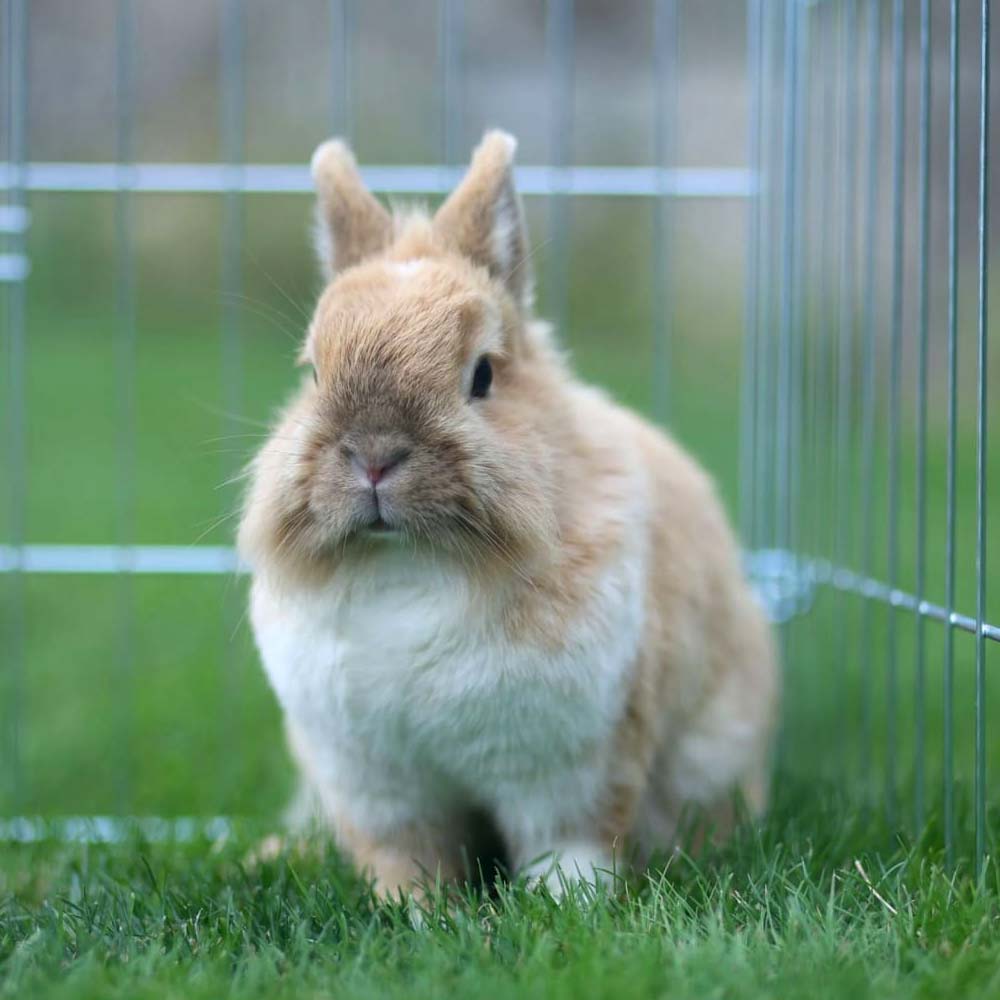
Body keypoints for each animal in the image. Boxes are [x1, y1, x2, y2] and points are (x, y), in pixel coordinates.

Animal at [238, 131, 776, 900]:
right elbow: (404, 856)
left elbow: (571, 848)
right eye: (314, 373)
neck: (410, 564)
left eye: (483, 375)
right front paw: (412, 909)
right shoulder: (376, 786)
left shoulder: (575, 768)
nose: (374, 456)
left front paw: (567, 907)